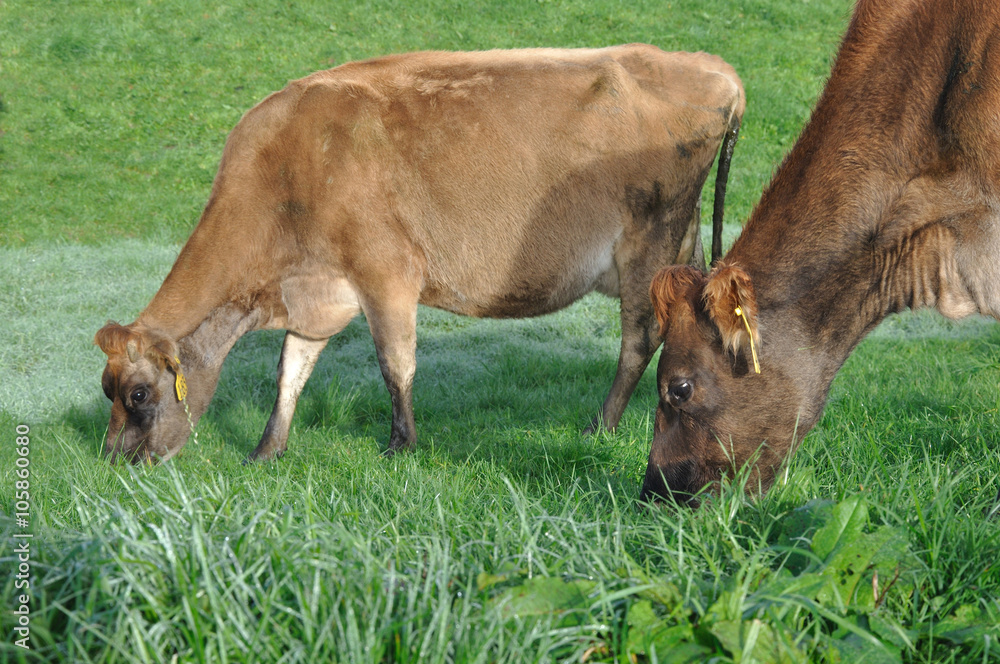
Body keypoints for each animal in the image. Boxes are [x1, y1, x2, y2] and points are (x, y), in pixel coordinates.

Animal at [94, 44, 748, 464]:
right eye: (109, 391)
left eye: (138, 394)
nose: (117, 461)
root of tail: (711, 68)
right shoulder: (316, 288)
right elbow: (291, 372)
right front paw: (266, 449)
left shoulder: (385, 273)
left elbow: (395, 364)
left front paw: (400, 444)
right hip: (679, 240)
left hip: (649, 240)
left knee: (639, 339)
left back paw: (601, 426)